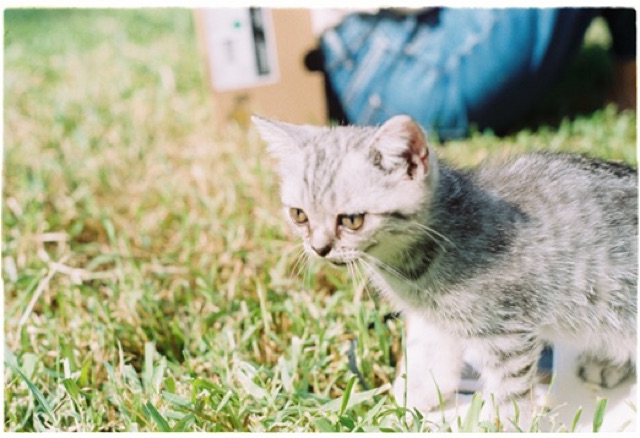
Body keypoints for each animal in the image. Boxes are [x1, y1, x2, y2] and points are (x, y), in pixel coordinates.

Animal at [252, 113, 636, 410]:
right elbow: (429, 357)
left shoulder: (507, 332)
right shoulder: (432, 319)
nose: (319, 248)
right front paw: (411, 400)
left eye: (352, 220)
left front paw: (496, 424)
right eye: (299, 215)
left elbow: (509, 394)